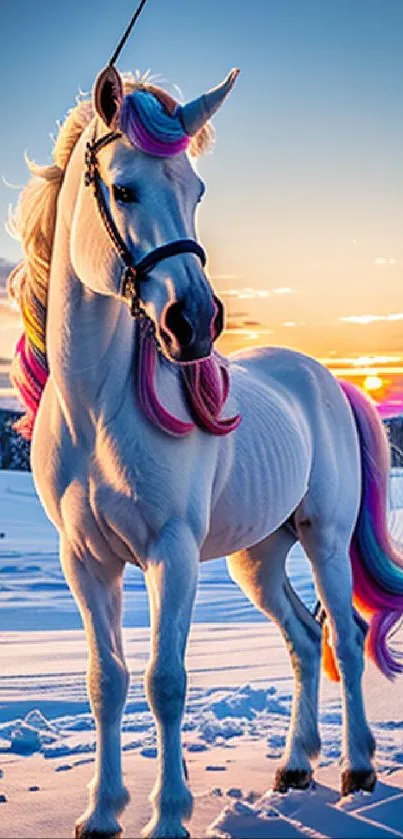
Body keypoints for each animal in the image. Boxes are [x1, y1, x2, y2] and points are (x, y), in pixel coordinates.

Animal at [8, 62, 403, 836]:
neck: (97, 412)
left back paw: (356, 768)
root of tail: (329, 380)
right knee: (303, 639)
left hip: (324, 536)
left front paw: (167, 816)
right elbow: (107, 681)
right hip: (259, 556)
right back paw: (295, 765)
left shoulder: (173, 550)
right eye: (123, 188)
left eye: (196, 190)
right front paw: (100, 813)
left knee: (343, 636)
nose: (194, 322)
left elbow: (165, 680)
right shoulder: (86, 560)